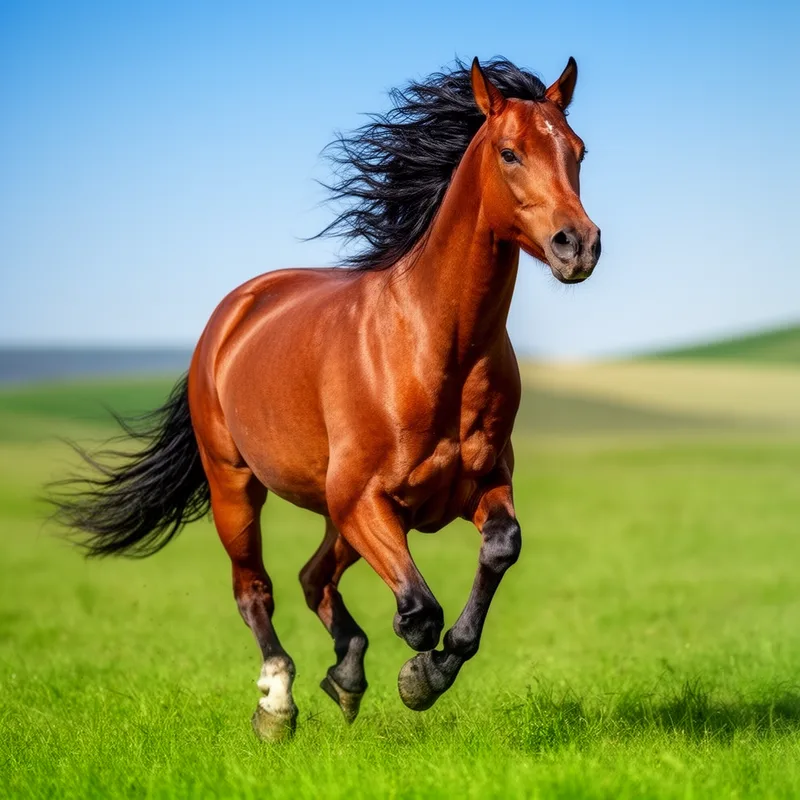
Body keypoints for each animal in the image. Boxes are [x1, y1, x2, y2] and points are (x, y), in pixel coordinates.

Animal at [52, 57, 601, 741]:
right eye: (509, 152)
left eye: (579, 150)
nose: (578, 244)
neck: (433, 345)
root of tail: (235, 311)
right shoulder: (363, 499)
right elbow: (418, 612)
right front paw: (417, 677)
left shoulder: (479, 484)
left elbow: (497, 553)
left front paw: (425, 673)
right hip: (238, 486)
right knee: (255, 589)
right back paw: (277, 705)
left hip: (339, 514)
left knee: (312, 578)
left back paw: (346, 674)